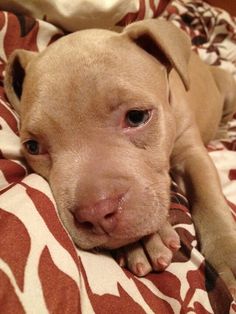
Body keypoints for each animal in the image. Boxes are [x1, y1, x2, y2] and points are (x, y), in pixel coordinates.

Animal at [3, 19, 236, 296]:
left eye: (136, 116)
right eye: (33, 147)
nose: (96, 213)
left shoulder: (192, 153)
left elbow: (208, 198)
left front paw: (227, 252)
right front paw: (142, 242)